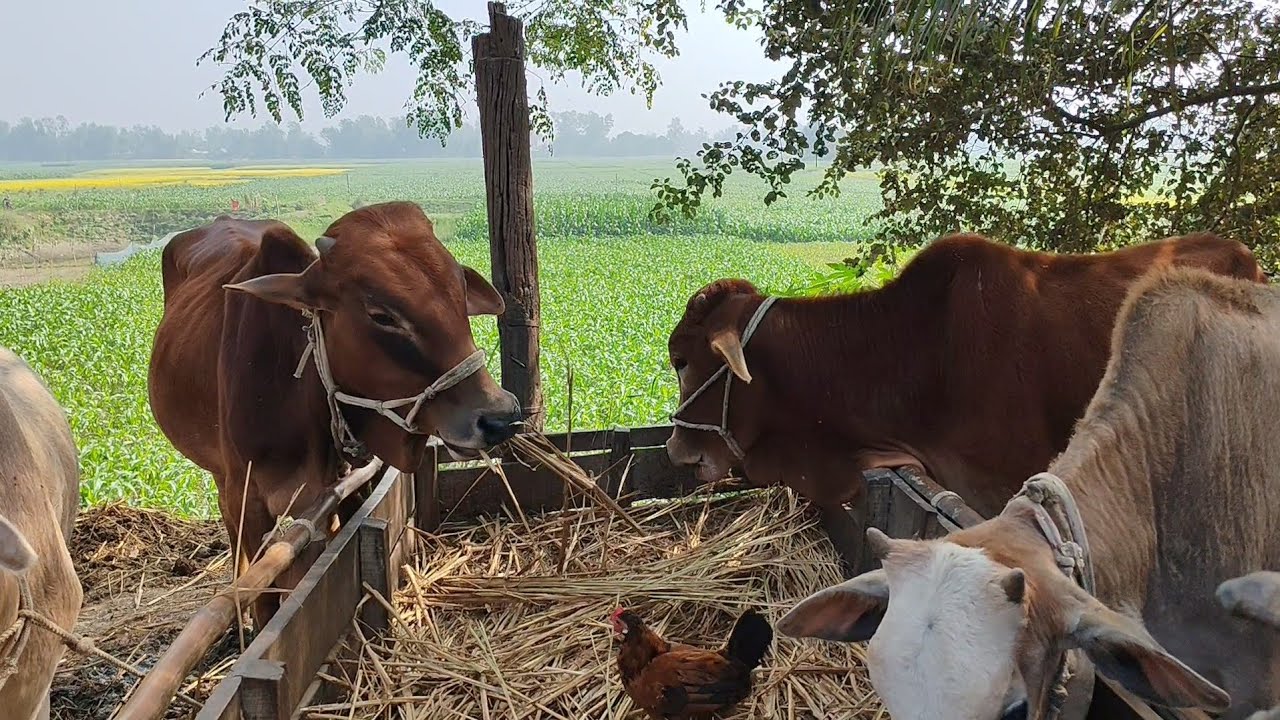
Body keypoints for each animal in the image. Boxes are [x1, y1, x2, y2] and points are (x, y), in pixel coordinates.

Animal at [148, 201, 522, 626]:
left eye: (459, 290)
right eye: (381, 315)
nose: (499, 416)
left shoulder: (340, 490)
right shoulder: (249, 498)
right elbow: (264, 599)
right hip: (221, 475)